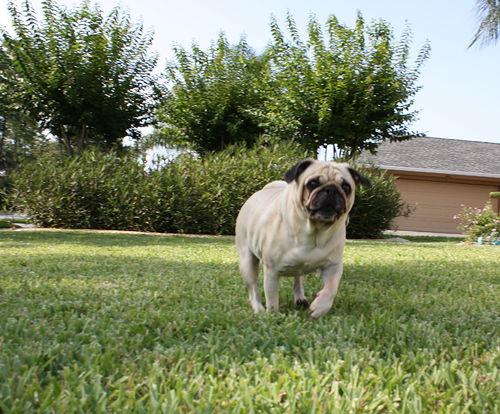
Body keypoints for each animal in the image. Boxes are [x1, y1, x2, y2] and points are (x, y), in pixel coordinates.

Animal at [234, 159, 372, 320]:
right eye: (312, 183)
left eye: (346, 187)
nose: (331, 190)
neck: (314, 232)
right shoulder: (271, 272)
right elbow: (272, 298)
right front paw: (274, 316)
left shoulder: (333, 266)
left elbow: (331, 288)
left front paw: (320, 307)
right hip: (247, 263)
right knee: (253, 289)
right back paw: (258, 308)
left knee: (298, 280)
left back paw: (300, 298)